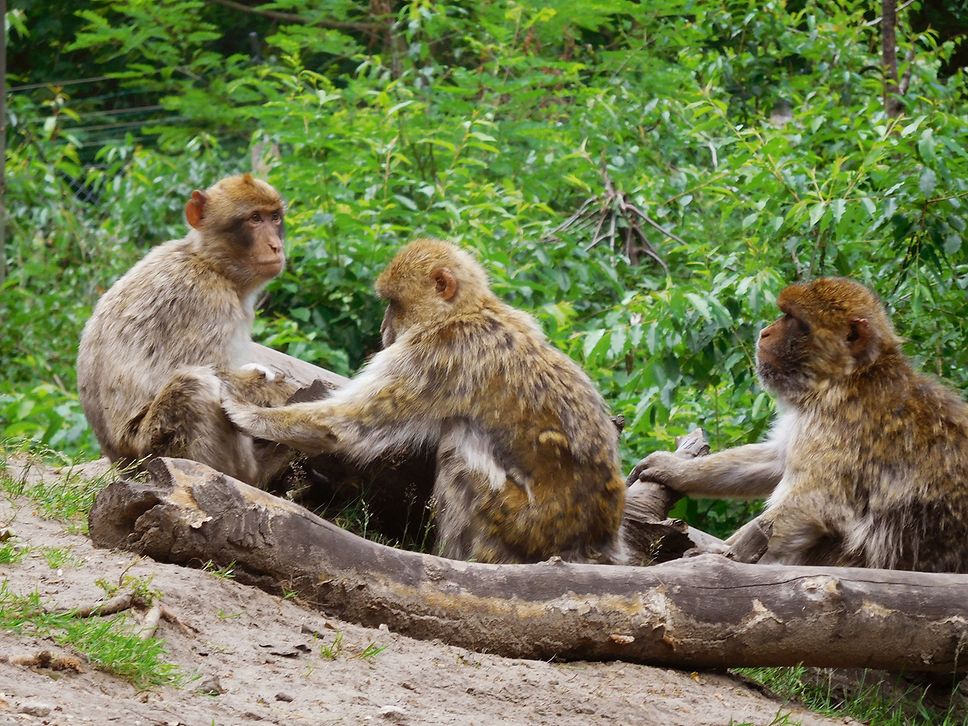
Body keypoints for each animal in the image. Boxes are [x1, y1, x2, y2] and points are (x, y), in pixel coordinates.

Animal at [78, 173, 300, 486]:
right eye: (255, 219)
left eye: (275, 217)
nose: (275, 247)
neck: (210, 262)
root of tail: (121, 465)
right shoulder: (205, 301)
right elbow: (216, 374)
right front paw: (277, 388)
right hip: (151, 451)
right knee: (195, 385)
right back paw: (245, 476)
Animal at [221, 240, 628, 568]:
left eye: (392, 304)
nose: (383, 328)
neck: (466, 311)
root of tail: (596, 544)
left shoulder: (431, 357)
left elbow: (347, 425)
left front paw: (248, 413)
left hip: (522, 525)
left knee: (458, 451)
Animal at [628, 278, 968, 576]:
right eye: (784, 314)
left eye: (792, 319)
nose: (765, 332)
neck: (847, 378)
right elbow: (775, 461)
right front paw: (673, 468)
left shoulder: (842, 422)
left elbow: (814, 502)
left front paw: (722, 554)